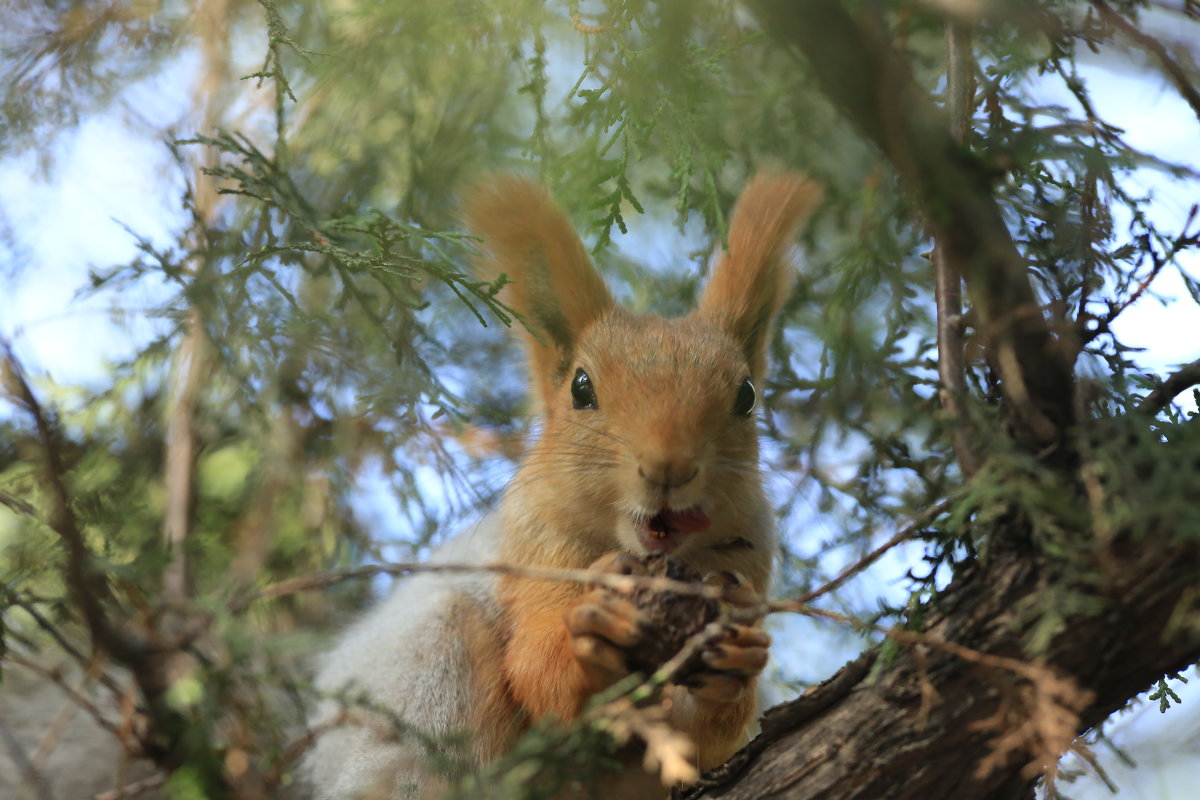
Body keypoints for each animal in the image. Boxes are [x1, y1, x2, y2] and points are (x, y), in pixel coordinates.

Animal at [304, 172, 820, 796]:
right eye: (581, 388)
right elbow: (539, 670)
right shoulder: (536, 547)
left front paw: (736, 659)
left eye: (746, 396)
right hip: (428, 670)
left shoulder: (747, 555)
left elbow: (699, 733)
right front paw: (591, 632)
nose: (668, 468)